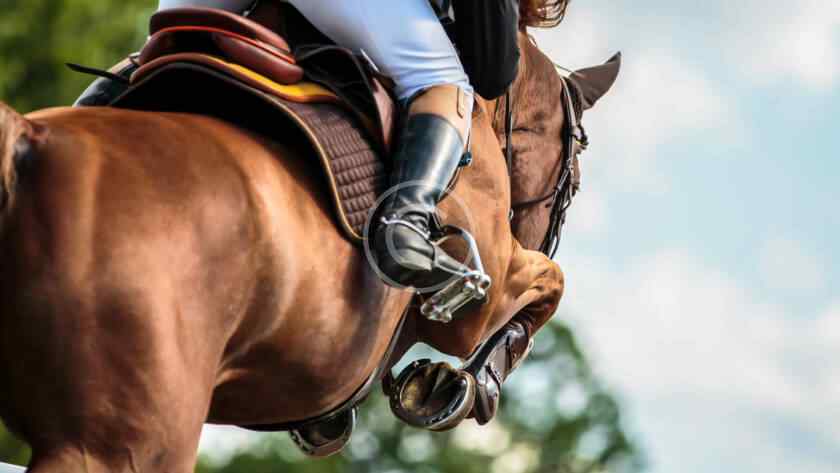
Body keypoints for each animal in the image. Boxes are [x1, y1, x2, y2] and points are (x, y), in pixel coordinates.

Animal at [0, 28, 619, 472]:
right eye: (574, 180)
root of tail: (28, 140)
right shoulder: (478, 300)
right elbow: (550, 283)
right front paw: (463, 385)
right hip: (118, 443)